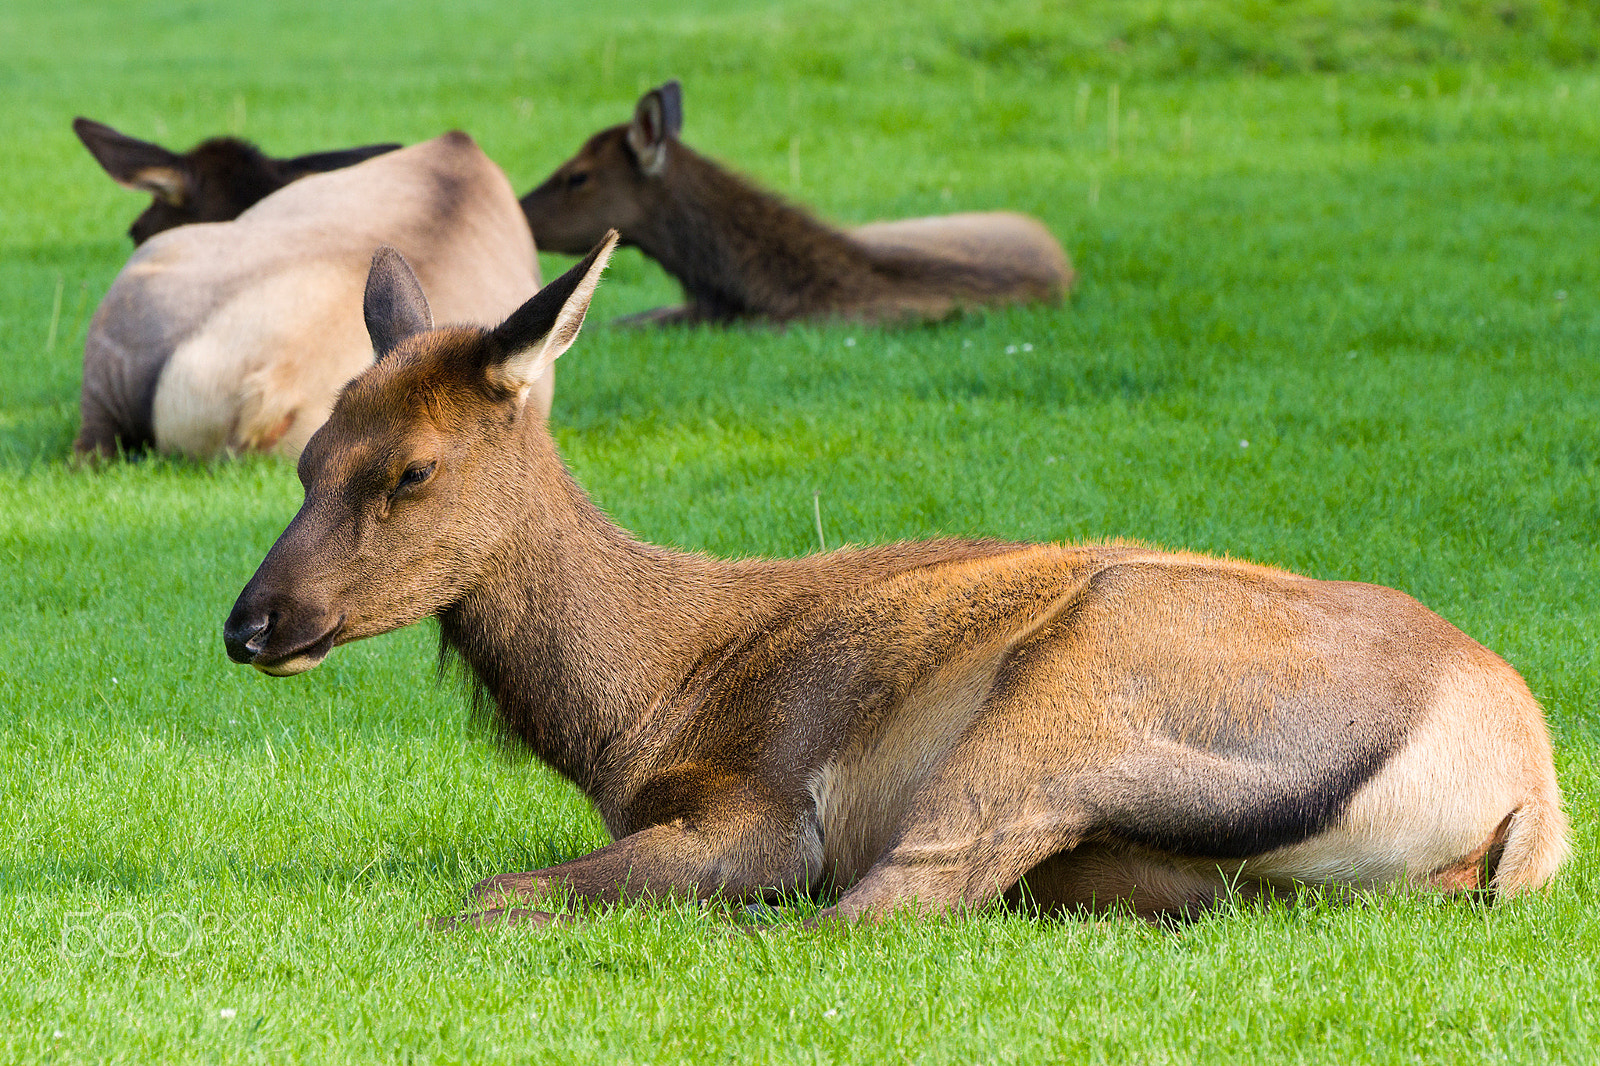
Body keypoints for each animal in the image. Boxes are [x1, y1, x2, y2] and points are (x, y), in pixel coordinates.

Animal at [224, 233, 1567, 928]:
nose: (252, 624)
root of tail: (1527, 797)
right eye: (305, 454)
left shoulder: (767, 804)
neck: (636, 714)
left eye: (411, 469)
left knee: (881, 904)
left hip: (1075, 680)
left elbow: (489, 889)